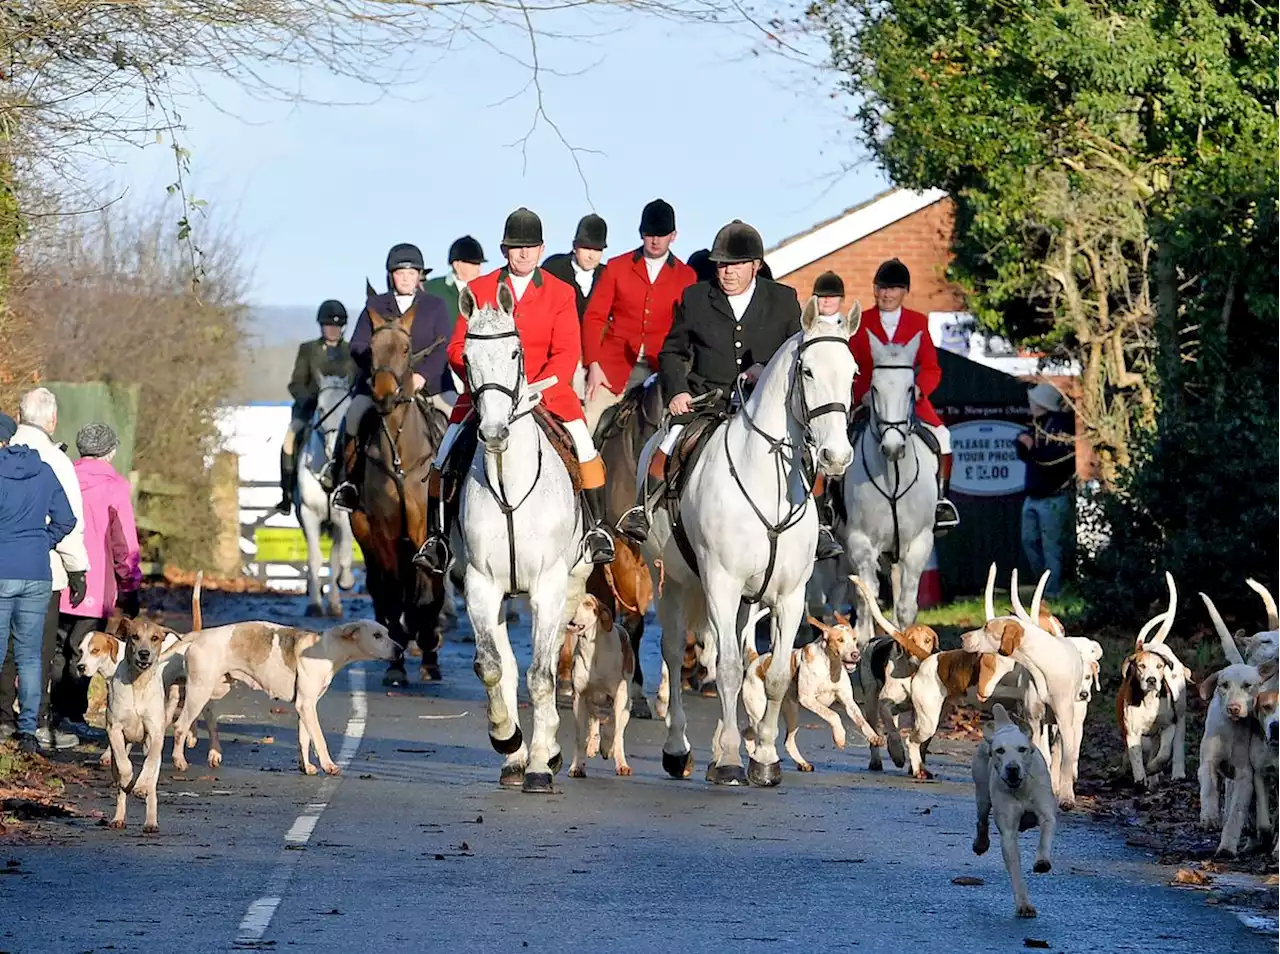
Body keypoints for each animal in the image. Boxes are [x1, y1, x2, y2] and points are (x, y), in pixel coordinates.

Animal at [296, 371, 358, 617]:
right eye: (320, 409)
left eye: (347, 410)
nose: (333, 448)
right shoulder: (308, 515)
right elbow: (314, 559)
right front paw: (314, 605)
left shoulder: (345, 517)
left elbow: (343, 556)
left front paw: (347, 581)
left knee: (336, 558)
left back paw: (335, 603)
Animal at [348, 297, 448, 686]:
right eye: (371, 350)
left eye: (406, 348)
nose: (385, 395)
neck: (401, 455)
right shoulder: (384, 531)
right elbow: (392, 593)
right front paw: (396, 662)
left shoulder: (423, 532)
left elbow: (427, 592)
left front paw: (428, 648)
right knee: (384, 588)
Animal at [458, 286, 586, 793]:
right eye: (467, 357)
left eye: (515, 353)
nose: (493, 433)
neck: (510, 485)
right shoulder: (480, 585)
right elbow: (493, 666)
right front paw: (507, 740)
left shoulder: (547, 589)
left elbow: (542, 676)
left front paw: (540, 763)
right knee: (508, 664)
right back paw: (514, 756)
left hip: (569, 586)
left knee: (546, 665)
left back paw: (545, 752)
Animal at [640, 300, 860, 783]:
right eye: (808, 371)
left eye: (854, 372)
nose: (836, 456)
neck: (766, 479)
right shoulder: (720, 584)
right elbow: (725, 668)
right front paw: (726, 759)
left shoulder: (790, 596)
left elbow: (772, 676)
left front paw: (762, 757)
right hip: (672, 583)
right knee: (676, 652)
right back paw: (678, 749)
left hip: (743, 601)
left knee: (736, 652)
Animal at [839, 335, 942, 647]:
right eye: (874, 388)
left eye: (910, 388)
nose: (893, 447)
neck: (893, 476)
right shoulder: (860, 542)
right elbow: (867, 596)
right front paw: (863, 641)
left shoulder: (919, 543)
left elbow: (906, 607)